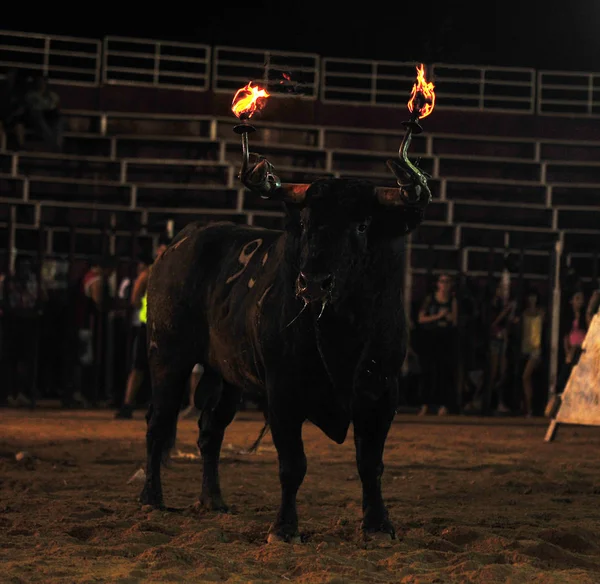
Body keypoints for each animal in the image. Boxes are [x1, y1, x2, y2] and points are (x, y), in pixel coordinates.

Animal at [141, 178, 432, 544]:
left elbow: (370, 463)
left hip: (226, 378)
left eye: (362, 225)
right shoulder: (282, 393)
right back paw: (151, 499)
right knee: (158, 424)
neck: (341, 329)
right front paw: (284, 529)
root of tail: (181, 241)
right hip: (167, 357)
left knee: (210, 432)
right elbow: (293, 464)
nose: (313, 283)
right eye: (305, 223)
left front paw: (378, 526)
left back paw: (212, 500)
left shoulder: (381, 393)